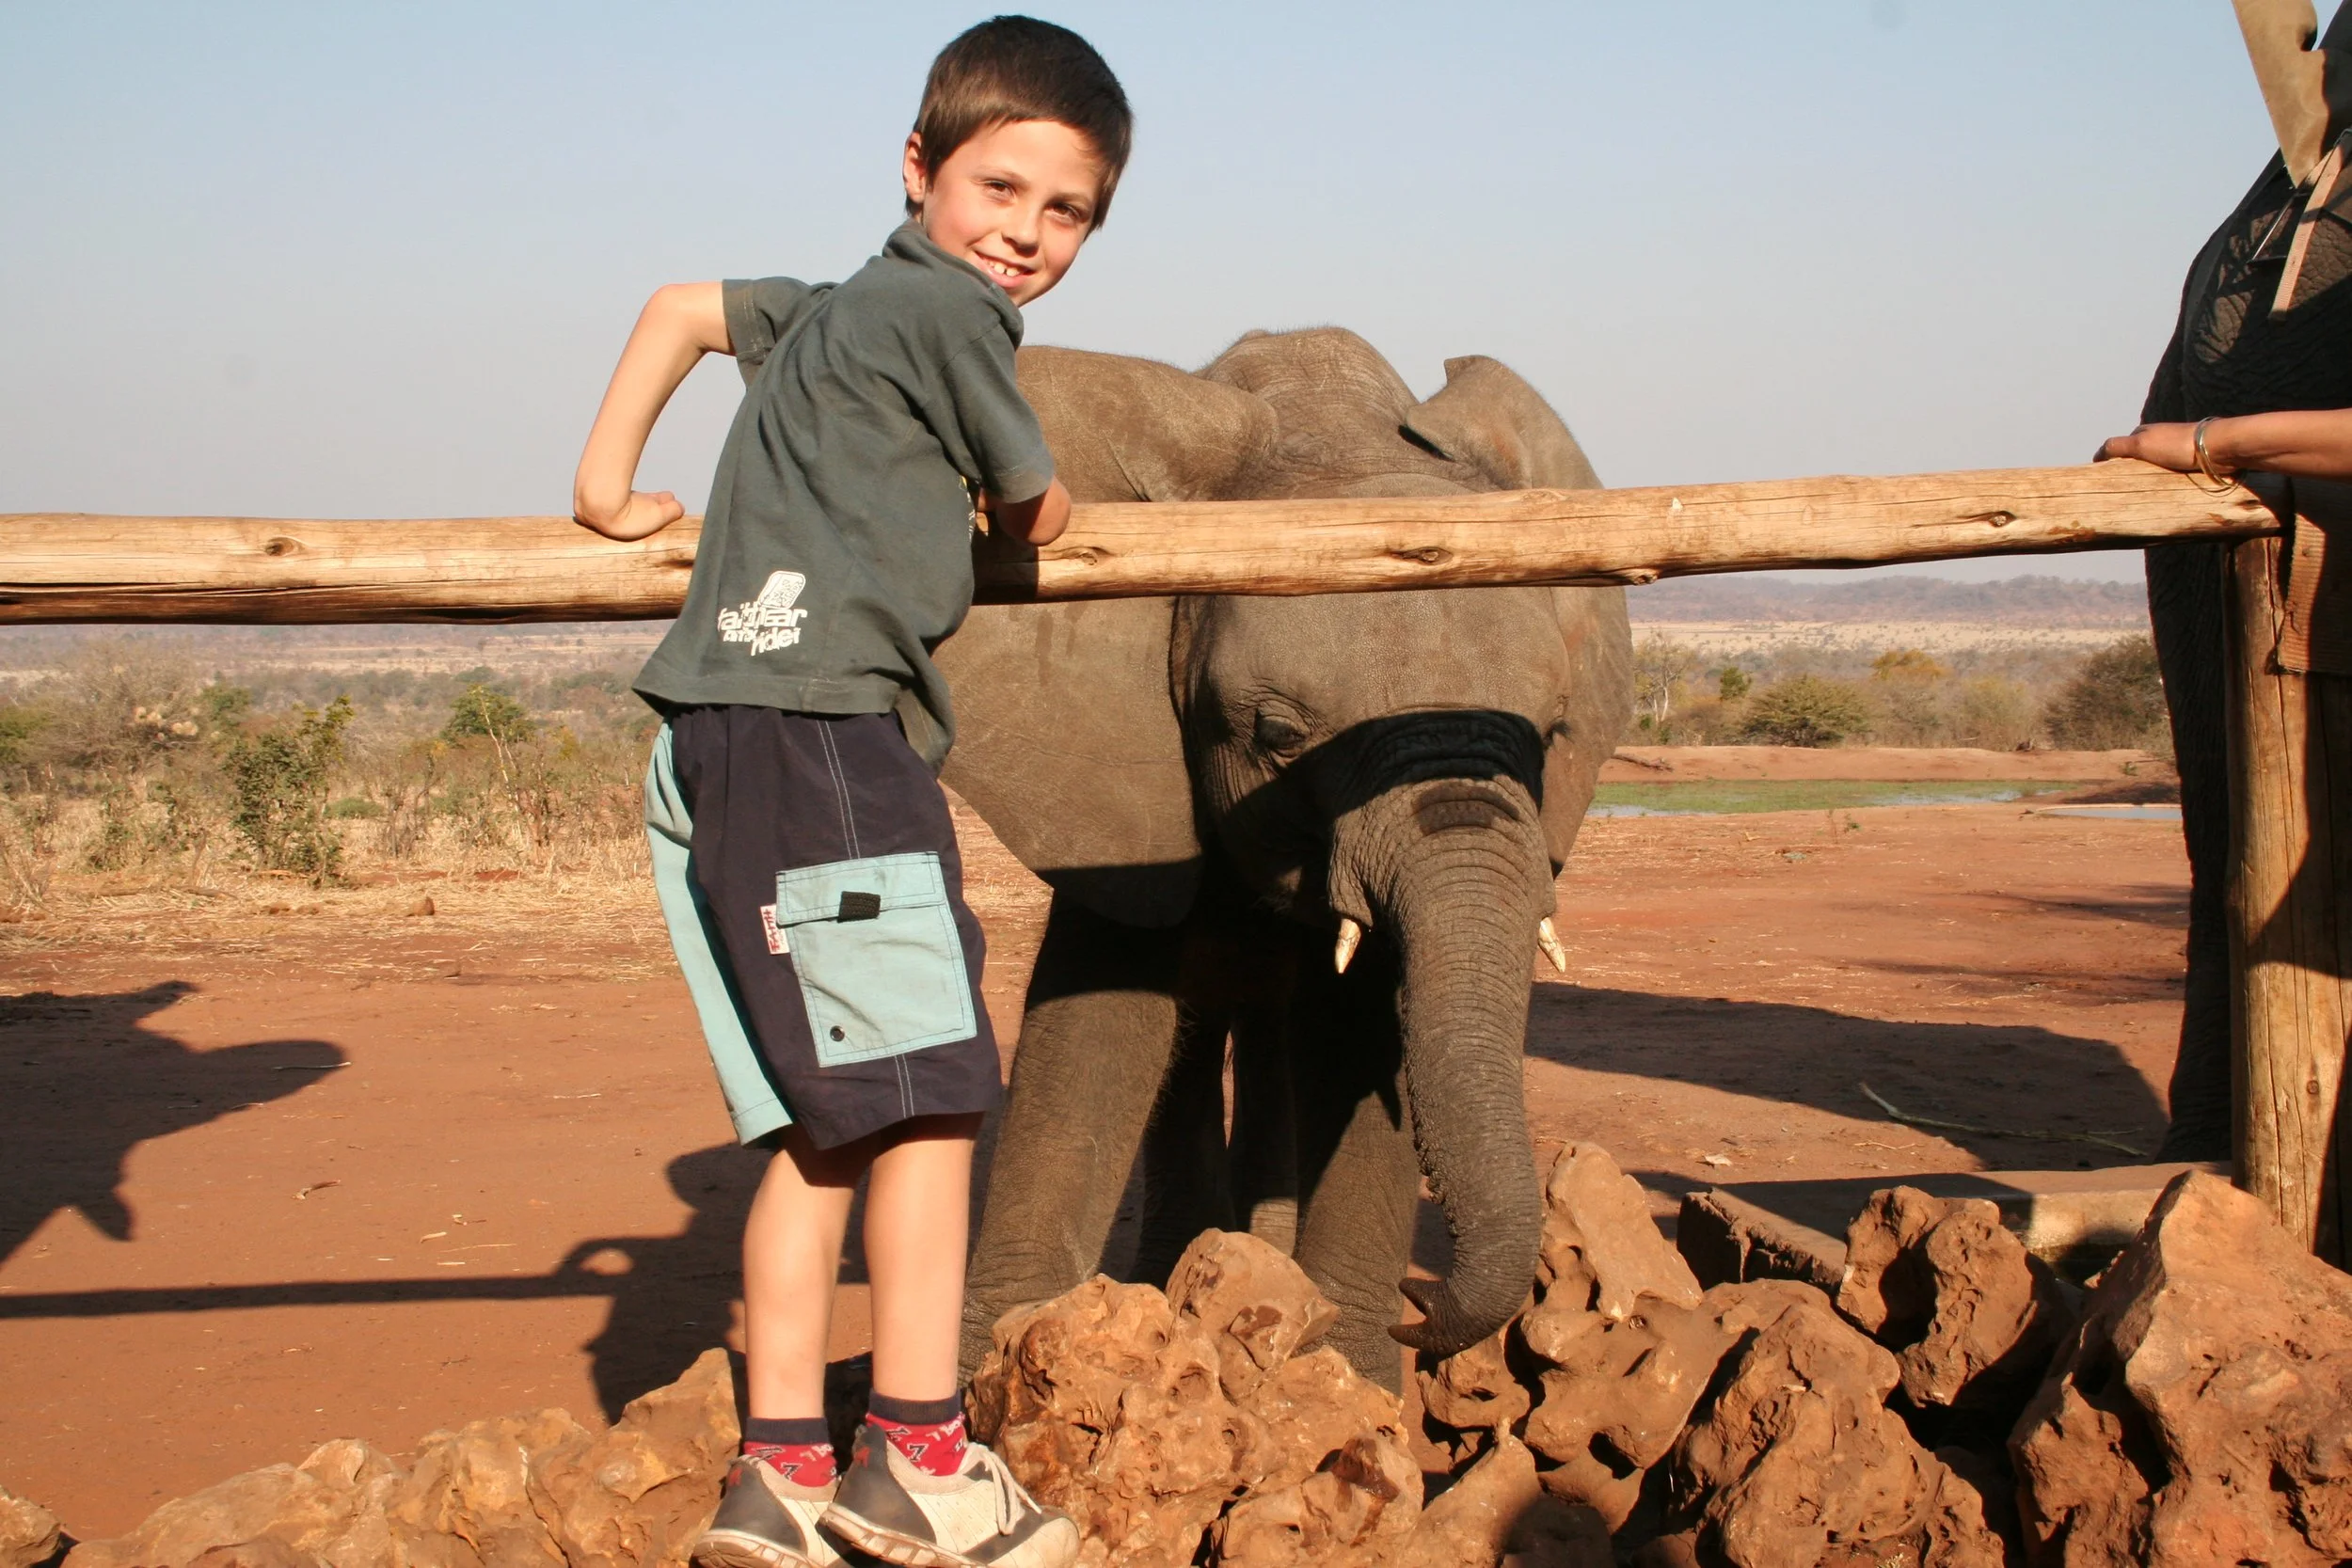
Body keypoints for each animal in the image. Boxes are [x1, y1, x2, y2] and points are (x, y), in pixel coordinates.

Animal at [934, 327, 1632, 1388]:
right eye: (1276, 733)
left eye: (1552, 735)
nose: (1419, 1317)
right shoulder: (1116, 771)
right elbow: (1098, 1020)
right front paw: (1001, 1379)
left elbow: (1367, 1036)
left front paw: (1351, 1379)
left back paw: (1255, 1267)